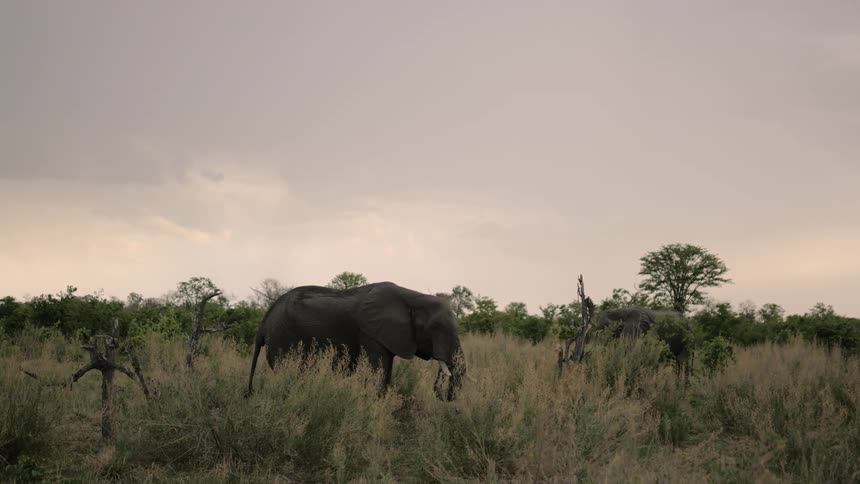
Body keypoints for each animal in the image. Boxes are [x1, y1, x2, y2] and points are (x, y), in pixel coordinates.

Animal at [246, 281, 468, 401]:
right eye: (435, 328)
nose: (440, 393)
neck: (412, 297)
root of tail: (264, 322)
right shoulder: (370, 334)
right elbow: (377, 373)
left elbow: (385, 373)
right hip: (283, 338)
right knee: (288, 372)